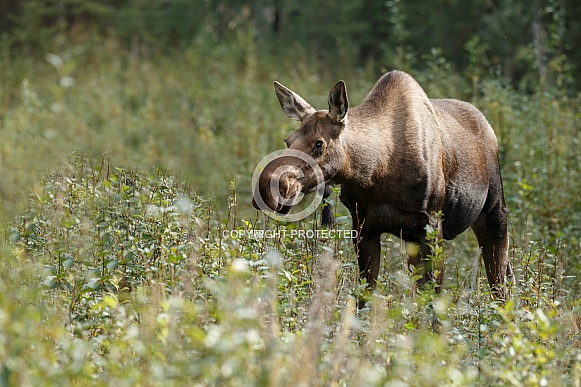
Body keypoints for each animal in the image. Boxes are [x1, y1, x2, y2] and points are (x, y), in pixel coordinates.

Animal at [251, 69, 510, 306]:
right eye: (288, 140)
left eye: (319, 144)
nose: (267, 187)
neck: (376, 173)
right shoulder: (364, 226)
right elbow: (365, 297)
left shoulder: (432, 223)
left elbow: (434, 300)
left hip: (494, 211)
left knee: (500, 281)